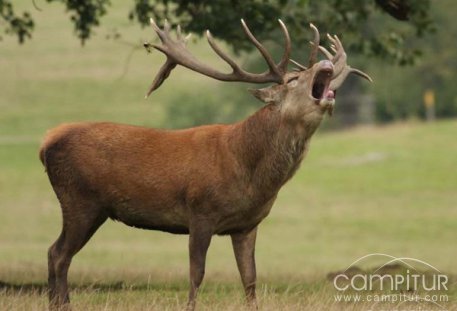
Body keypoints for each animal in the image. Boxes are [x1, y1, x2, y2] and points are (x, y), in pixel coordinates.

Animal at [40, 17, 370, 311]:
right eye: (292, 80)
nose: (326, 64)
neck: (246, 170)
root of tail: (45, 144)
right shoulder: (200, 212)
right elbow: (196, 273)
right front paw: (189, 306)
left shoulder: (248, 223)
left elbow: (250, 278)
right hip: (79, 199)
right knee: (59, 254)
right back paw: (63, 304)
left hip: (91, 207)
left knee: (53, 251)